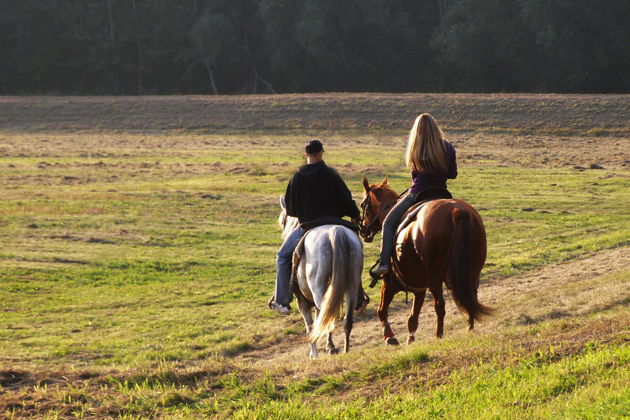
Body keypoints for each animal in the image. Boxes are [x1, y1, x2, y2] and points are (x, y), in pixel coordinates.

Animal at [278, 197, 362, 358]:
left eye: (282, 221)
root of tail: (336, 233)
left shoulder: (302, 303)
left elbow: (310, 327)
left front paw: (314, 353)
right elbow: (318, 322)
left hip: (319, 290)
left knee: (328, 315)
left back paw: (331, 347)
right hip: (352, 285)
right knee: (345, 319)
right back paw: (345, 350)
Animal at [360, 176, 494, 344]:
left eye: (362, 205)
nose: (363, 230)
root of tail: (458, 212)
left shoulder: (389, 284)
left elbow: (382, 311)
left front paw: (389, 336)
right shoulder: (419, 289)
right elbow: (413, 318)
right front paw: (409, 340)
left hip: (435, 277)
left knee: (440, 306)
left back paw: (439, 336)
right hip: (472, 271)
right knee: (470, 297)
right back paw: (469, 328)